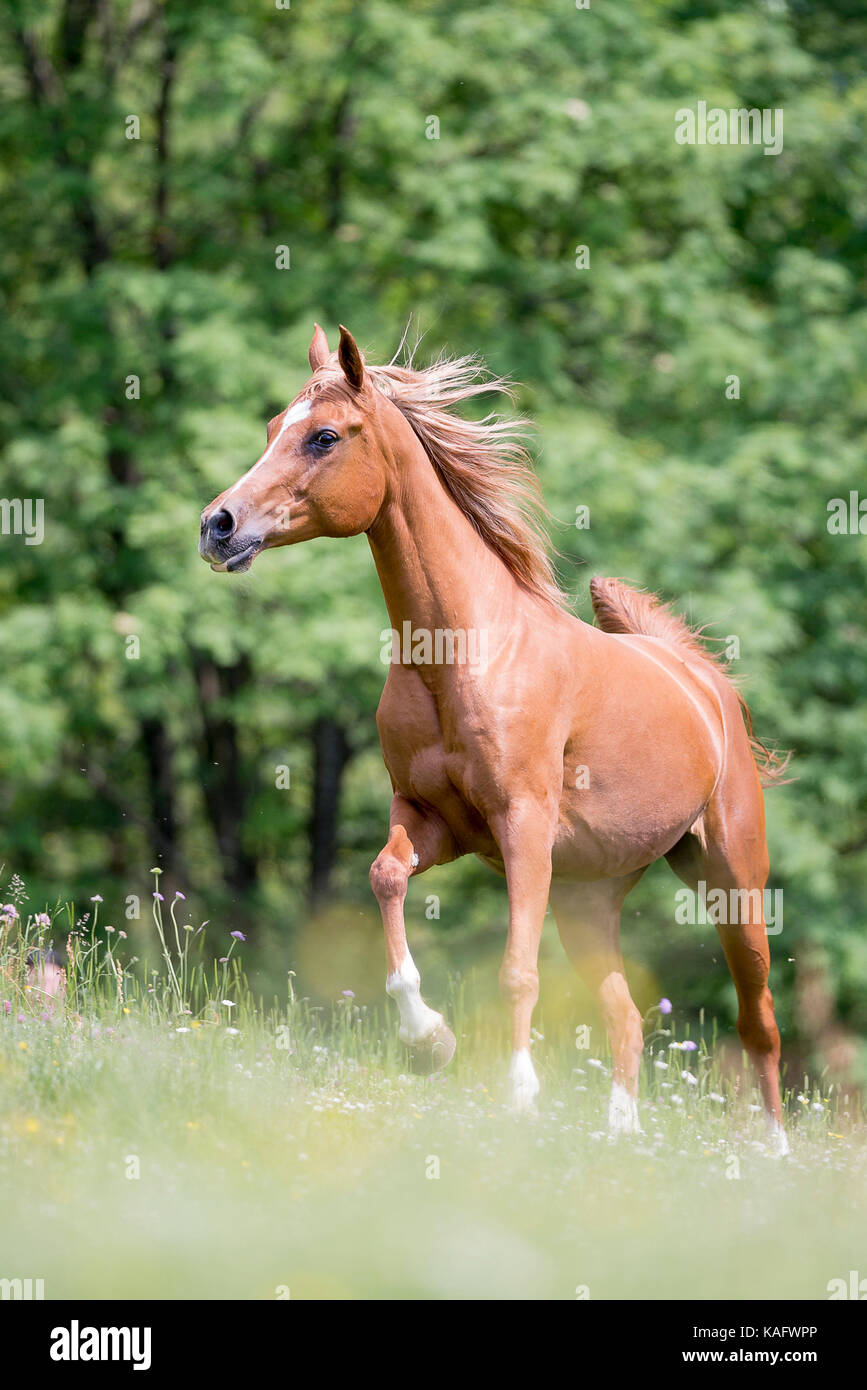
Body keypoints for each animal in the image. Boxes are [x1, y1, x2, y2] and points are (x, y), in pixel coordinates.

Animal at [199, 324, 791, 1153]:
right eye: (270, 429)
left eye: (323, 436)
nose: (217, 526)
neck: (461, 656)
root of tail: (705, 687)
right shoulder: (433, 821)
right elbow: (384, 878)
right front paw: (427, 1041)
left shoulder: (522, 826)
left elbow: (516, 971)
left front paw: (517, 1098)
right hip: (586, 901)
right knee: (626, 1018)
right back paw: (620, 1139)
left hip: (730, 878)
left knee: (758, 1019)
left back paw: (772, 1152)